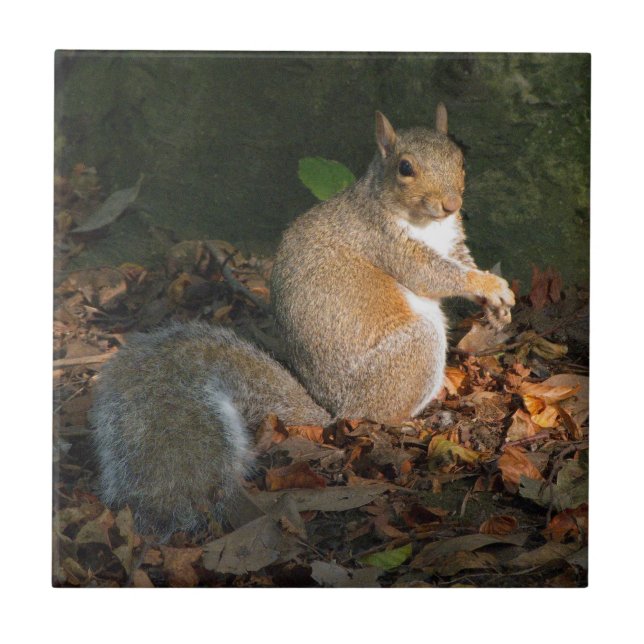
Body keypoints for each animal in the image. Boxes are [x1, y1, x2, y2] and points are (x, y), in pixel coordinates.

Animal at [89, 104, 514, 539]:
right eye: (405, 167)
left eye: (460, 157)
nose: (451, 203)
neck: (427, 223)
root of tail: (336, 412)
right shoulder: (386, 243)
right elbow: (434, 275)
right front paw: (487, 284)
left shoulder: (452, 242)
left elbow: (460, 262)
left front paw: (497, 302)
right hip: (413, 350)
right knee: (382, 414)